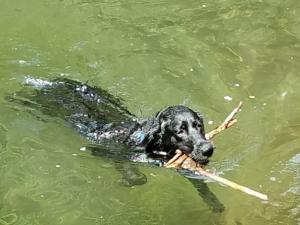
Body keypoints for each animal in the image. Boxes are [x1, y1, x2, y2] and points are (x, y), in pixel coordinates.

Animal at [7, 78, 224, 213]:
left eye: (199, 125)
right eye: (180, 130)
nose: (208, 149)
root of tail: (57, 82)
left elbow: (201, 184)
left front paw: (214, 202)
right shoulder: (111, 154)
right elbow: (139, 177)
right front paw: (127, 181)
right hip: (42, 104)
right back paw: (12, 97)